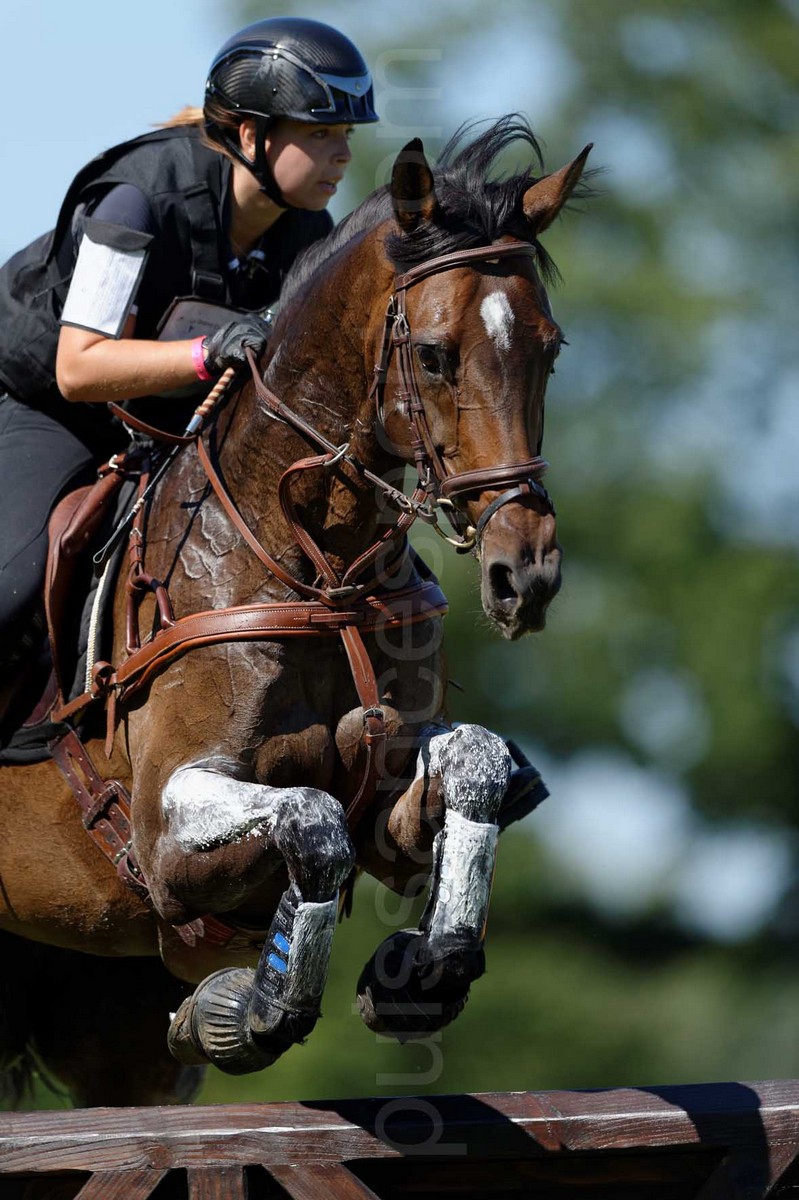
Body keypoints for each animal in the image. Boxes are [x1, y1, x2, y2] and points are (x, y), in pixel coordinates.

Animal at [0, 116, 590, 1105]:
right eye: (432, 354)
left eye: (548, 348)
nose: (527, 571)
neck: (318, 571)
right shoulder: (163, 838)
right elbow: (311, 821)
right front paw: (244, 1009)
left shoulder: (390, 802)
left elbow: (470, 768)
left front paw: (420, 976)